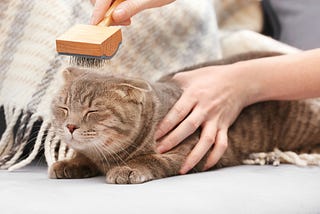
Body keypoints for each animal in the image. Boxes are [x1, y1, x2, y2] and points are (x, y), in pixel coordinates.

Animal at [48, 51, 320, 184]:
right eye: (63, 108)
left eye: (92, 111)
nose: (70, 126)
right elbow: (83, 156)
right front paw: (68, 163)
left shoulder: (189, 151)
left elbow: (152, 159)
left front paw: (128, 167)